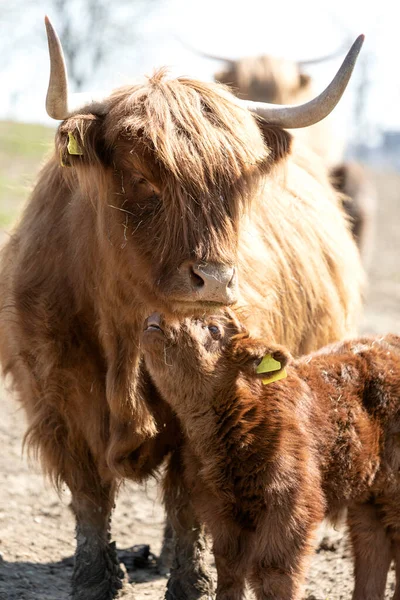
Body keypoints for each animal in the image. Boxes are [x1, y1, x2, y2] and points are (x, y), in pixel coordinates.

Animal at [144, 310, 400, 600]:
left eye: (214, 328)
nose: (155, 319)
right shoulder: (218, 507)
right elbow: (229, 569)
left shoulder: (290, 505)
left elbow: (273, 575)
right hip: (368, 494)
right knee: (372, 545)